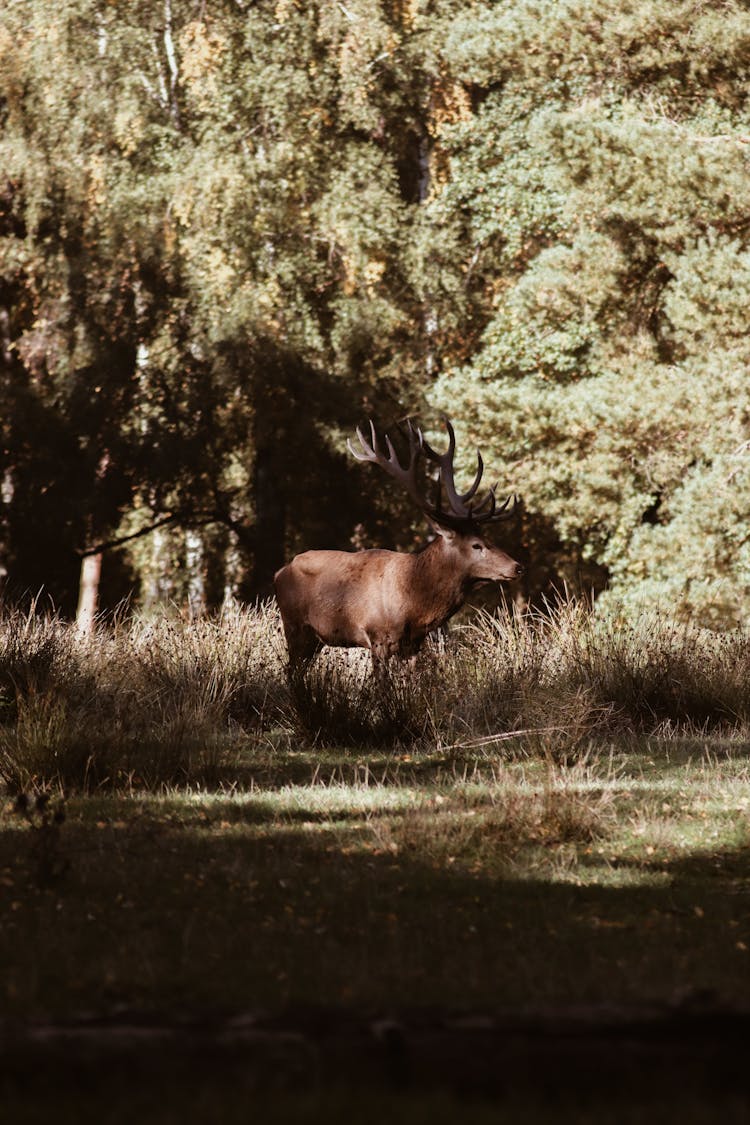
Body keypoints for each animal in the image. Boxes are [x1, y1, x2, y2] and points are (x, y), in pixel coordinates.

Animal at [273, 420, 526, 666]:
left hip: (315, 639)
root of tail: (279, 572)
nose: (517, 567)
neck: (415, 606)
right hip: (295, 627)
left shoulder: (413, 645)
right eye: (476, 545)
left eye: (488, 538)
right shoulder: (377, 637)